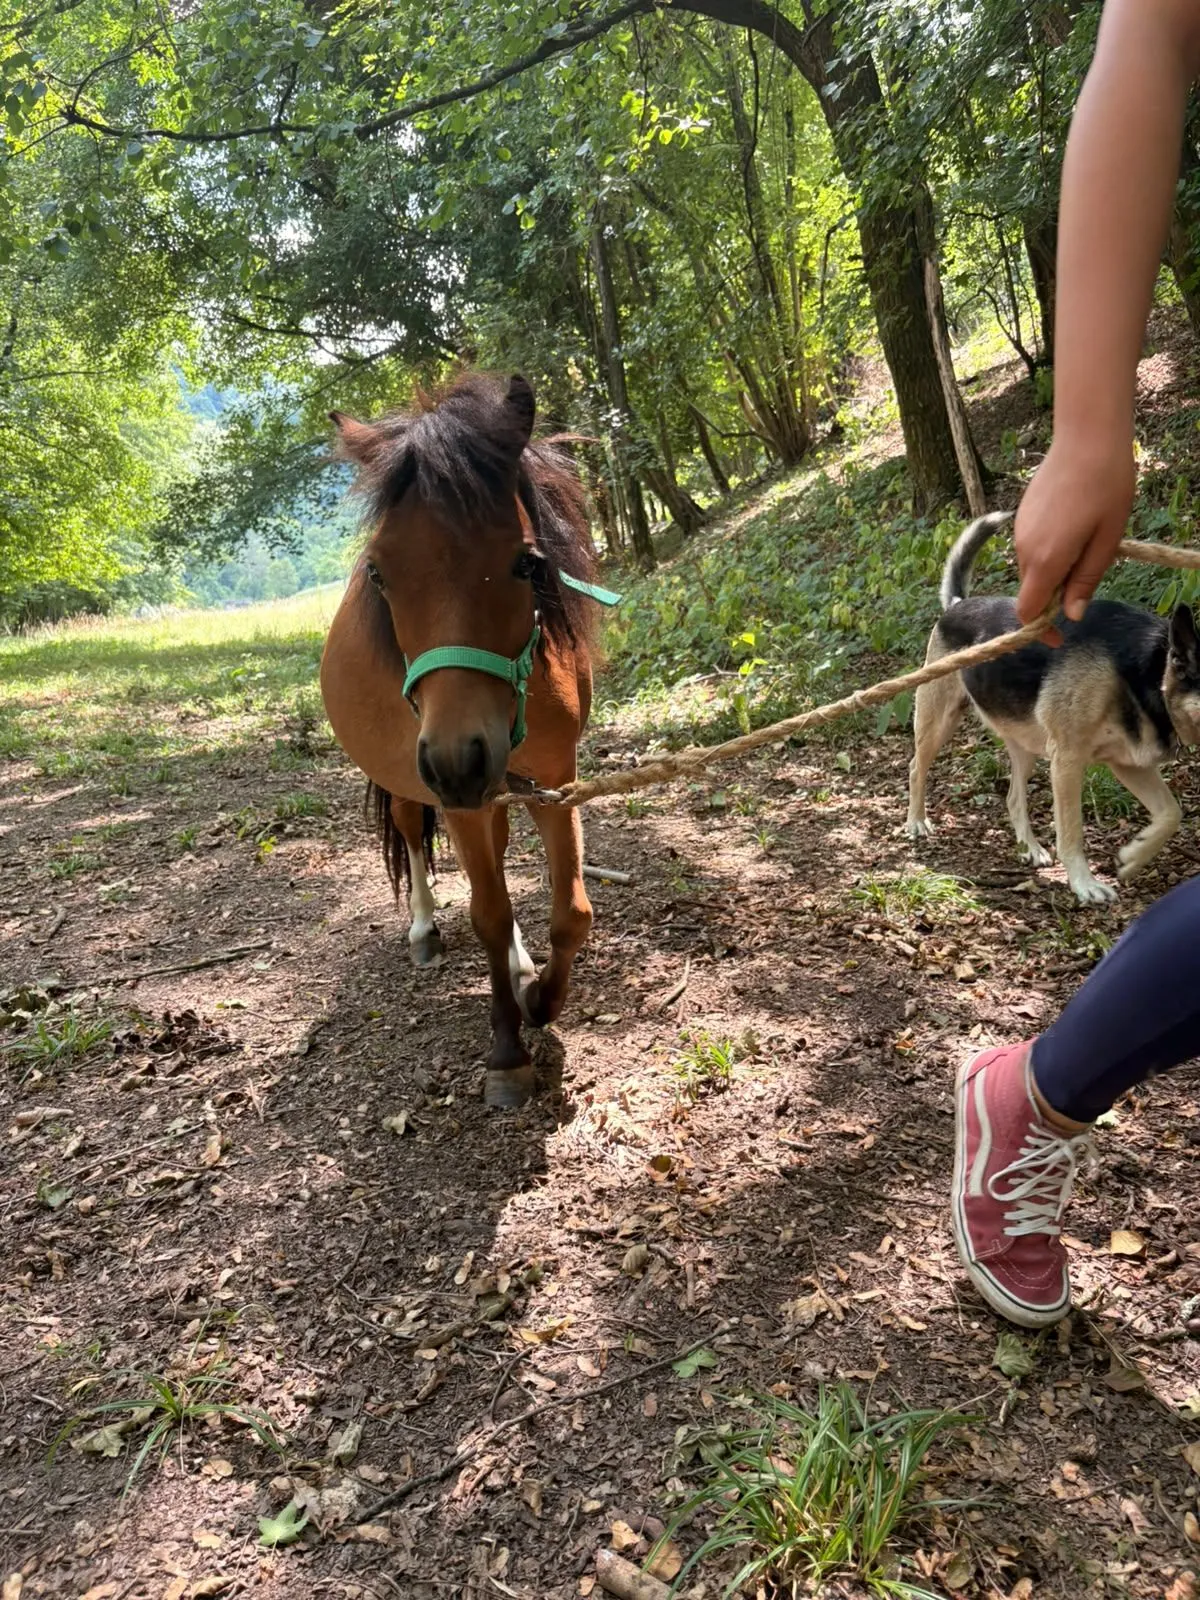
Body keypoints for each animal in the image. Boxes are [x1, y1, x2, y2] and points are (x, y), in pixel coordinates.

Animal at [319, 372, 602, 1109]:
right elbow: (488, 914)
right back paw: (423, 928)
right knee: (411, 835)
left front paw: (540, 999)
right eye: (379, 573)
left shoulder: (553, 781)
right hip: (412, 783)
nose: (456, 758)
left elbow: (571, 913)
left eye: (528, 564)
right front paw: (507, 1051)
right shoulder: (459, 797)